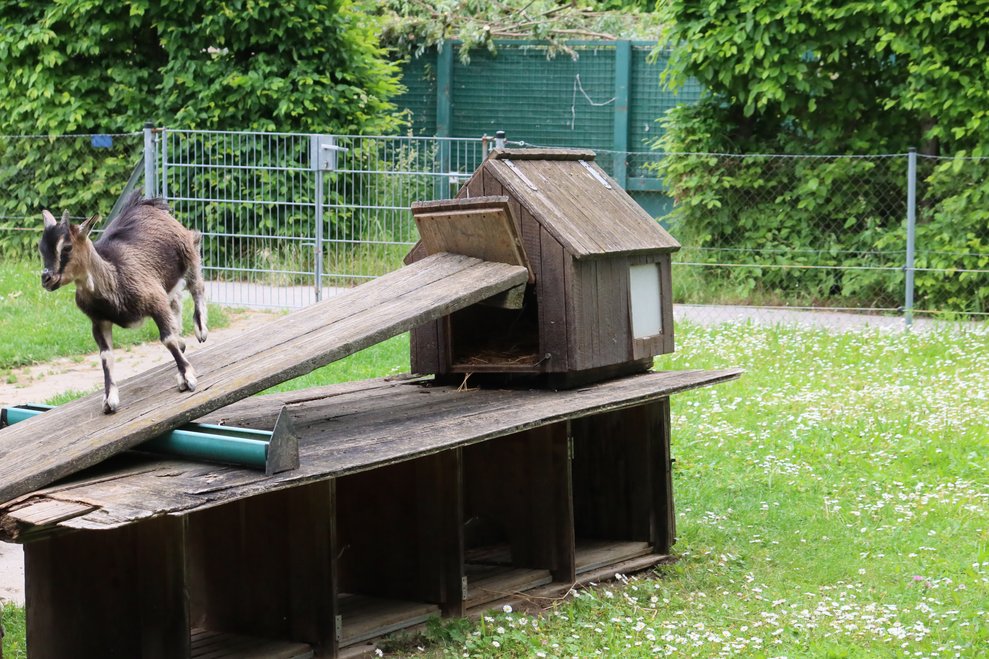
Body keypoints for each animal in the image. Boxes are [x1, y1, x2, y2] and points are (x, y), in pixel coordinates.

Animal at [38, 193, 208, 413]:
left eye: (67, 247)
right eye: (41, 248)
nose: (46, 278)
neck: (115, 276)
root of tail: (144, 203)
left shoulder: (155, 301)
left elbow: (167, 339)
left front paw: (187, 378)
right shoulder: (99, 321)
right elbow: (106, 357)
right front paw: (109, 400)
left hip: (188, 251)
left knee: (197, 285)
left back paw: (200, 329)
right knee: (176, 301)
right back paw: (182, 339)